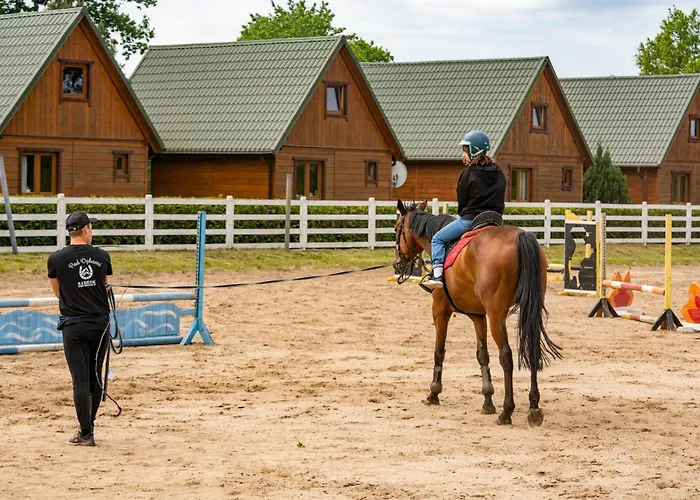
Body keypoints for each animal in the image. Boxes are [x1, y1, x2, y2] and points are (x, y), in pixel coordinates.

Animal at [392, 199, 562, 427]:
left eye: (396, 229)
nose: (397, 263)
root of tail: (520, 236)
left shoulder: (440, 311)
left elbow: (439, 351)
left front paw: (434, 393)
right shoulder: (478, 316)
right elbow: (482, 355)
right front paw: (488, 400)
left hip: (497, 315)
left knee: (506, 356)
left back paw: (507, 411)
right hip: (529, 311)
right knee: (532, 349)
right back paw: (534, 407)